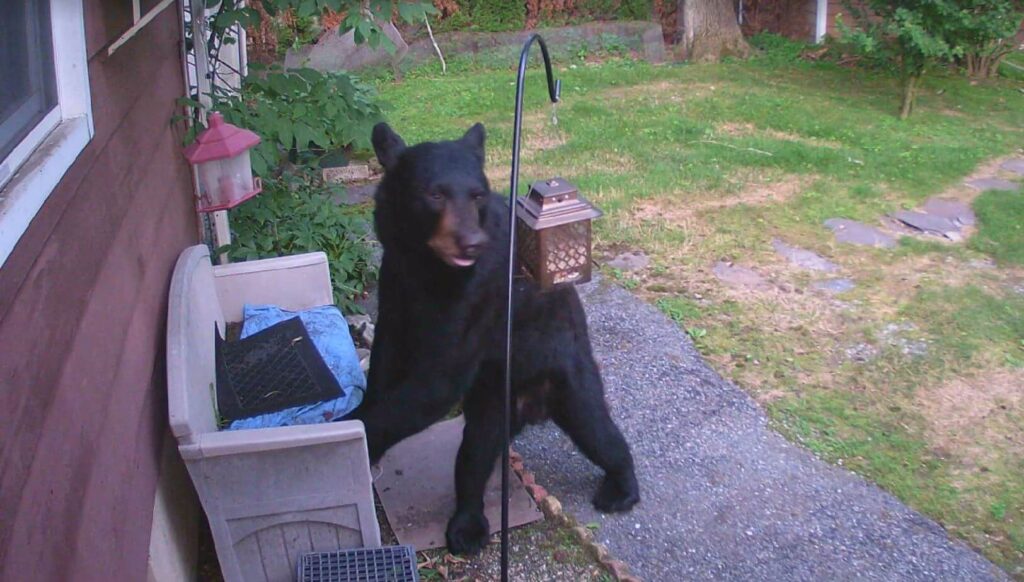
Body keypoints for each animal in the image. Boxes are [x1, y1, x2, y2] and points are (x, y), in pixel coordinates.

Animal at [346, 121, 639, 555]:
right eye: (435, 194)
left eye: (477, 194)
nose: (472, 242)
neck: (428, 264)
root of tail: (531, 408)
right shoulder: (397, 280)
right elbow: (388, 352)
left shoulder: (481, 295)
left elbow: (437, 382)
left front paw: (355, 432)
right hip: (492, 399)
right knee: (476, 454)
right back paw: (469, 520)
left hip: (566, 377)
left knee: (595, 429)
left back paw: (619, 487)